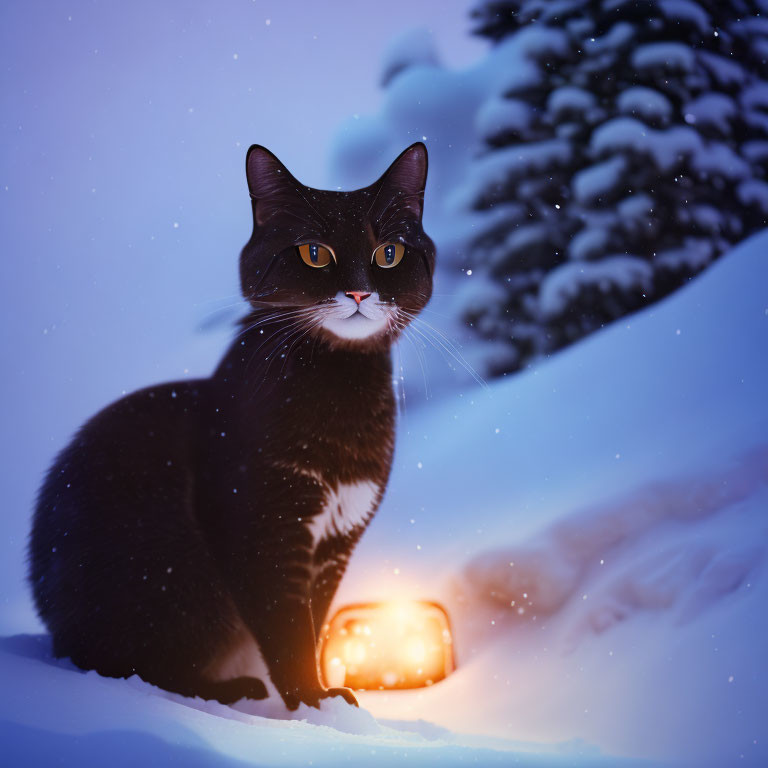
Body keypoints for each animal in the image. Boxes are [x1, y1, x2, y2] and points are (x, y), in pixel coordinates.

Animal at [28, 142, 432, 708]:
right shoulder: (262, 525)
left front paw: (319, 697)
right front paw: (313, 699)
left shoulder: (337, 541)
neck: (339, 386)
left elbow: (314, 617)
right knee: (140, 668)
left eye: (388, 253)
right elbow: (287, 624)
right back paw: (230, 688)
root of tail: (58, 635)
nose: (357, 293)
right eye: (314, 253)